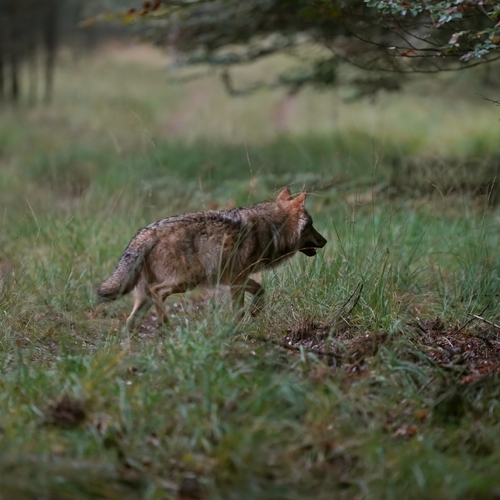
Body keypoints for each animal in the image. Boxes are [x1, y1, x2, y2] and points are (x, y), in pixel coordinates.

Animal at [96, 186, 328, 330]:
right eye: (311, 225)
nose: (325, 241)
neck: (273, 228)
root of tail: (147, 232)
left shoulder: (236, 279)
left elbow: (260, 291)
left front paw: (255, 312)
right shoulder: (237, 281)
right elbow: (239, 311)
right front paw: (235, 329)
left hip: (148, 294)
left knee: (130, 323)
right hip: (187, 281)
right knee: (158, 294)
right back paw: (167, 328)